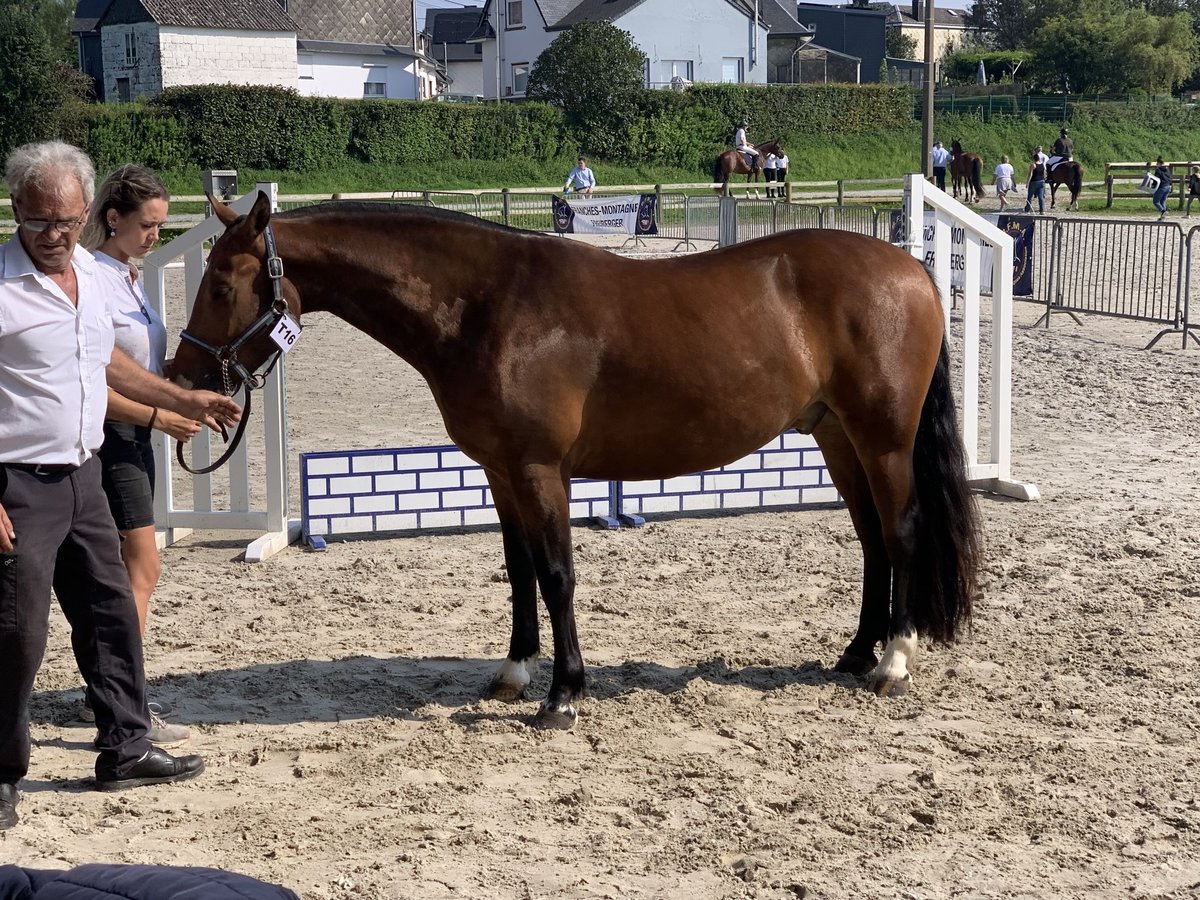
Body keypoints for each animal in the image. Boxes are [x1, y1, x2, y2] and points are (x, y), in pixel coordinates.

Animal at [171, 195, 984, 734]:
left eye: (221, 285)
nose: (187, 377)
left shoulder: (541, 469)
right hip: (835, 437)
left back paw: (894, 661)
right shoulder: (501, 471)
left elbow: (558, 572)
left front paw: (564, 695)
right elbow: (520, 570)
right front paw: (513, 673)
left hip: (882, 440)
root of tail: (911, 268)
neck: (488, 307)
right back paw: (854, 654)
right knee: (872, 541)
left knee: (902, 533)